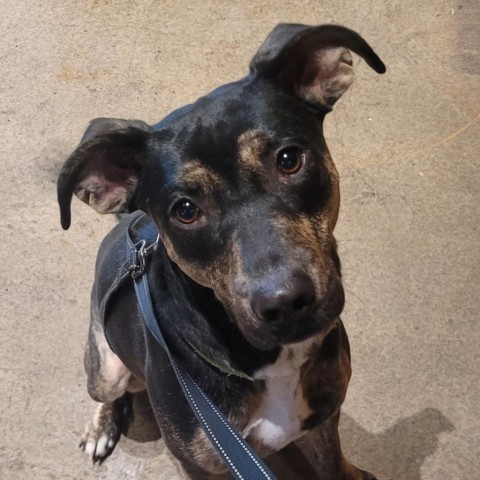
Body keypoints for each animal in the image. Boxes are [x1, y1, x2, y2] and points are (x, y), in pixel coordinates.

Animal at [56, 23, 386, 480]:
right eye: (185, 210)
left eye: (289, 159)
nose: (285, 303)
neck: (274, 363)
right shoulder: (200, 463)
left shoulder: (326, 414)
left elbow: (334, 463)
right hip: (105, 367)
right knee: (107, 390)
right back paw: (102, 426)